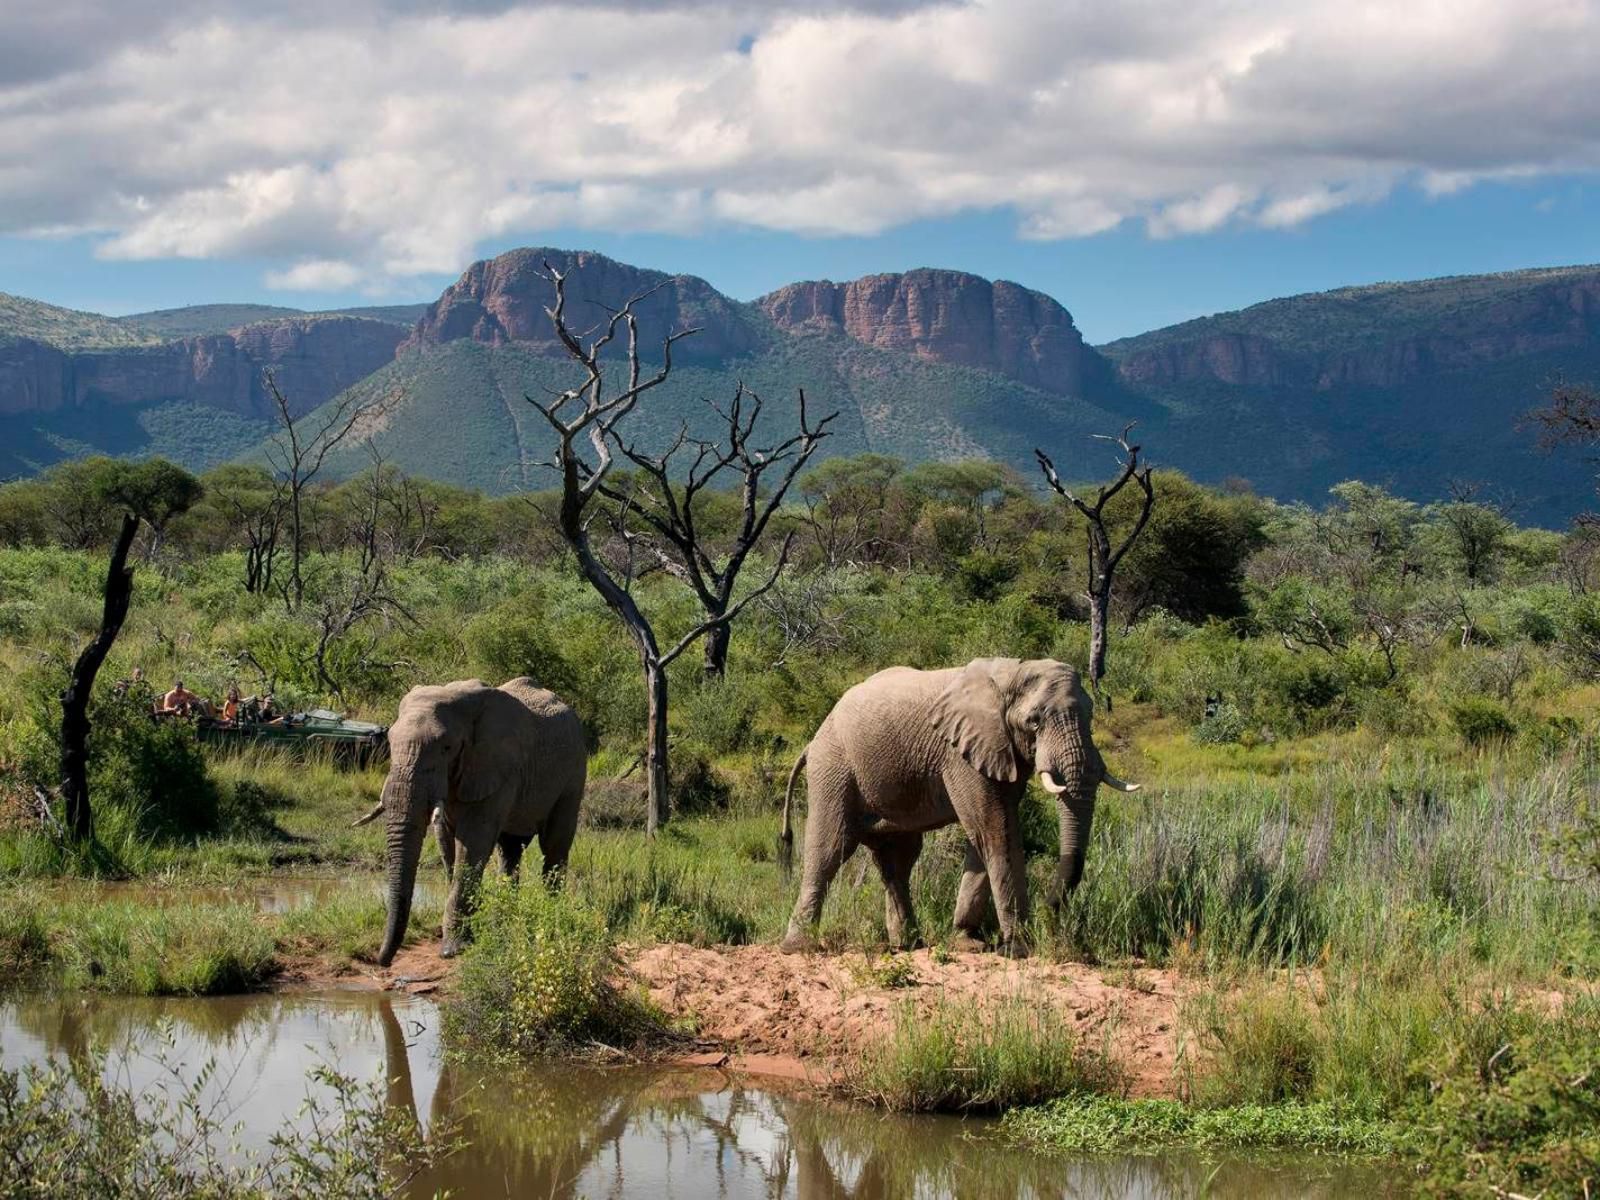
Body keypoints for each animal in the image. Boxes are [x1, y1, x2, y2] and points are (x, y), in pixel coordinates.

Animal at [366, 678, 585, 966]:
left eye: (446, 747)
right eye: (389, 741)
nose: (382, 960)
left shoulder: (497, 766)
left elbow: (473, 842)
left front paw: (452, 949)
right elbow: (445, 841)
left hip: (573, 772)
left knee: (554, 845)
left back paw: (553, 915)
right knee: (510, 850)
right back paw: (503, 920)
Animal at [777, 659, 1139, 960]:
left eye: (1091, 717)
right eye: (1034, 722)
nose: (1048, 911)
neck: (1012, 672)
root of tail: (813, 741)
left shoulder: (997, 752)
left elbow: (989, 834)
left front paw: (969, 942)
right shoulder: (961, 754)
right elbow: (995, 831)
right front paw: (1018, 949)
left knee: (899, 859)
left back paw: (909, 944)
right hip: (834, 768)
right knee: (831, 848)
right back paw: (798, 947)